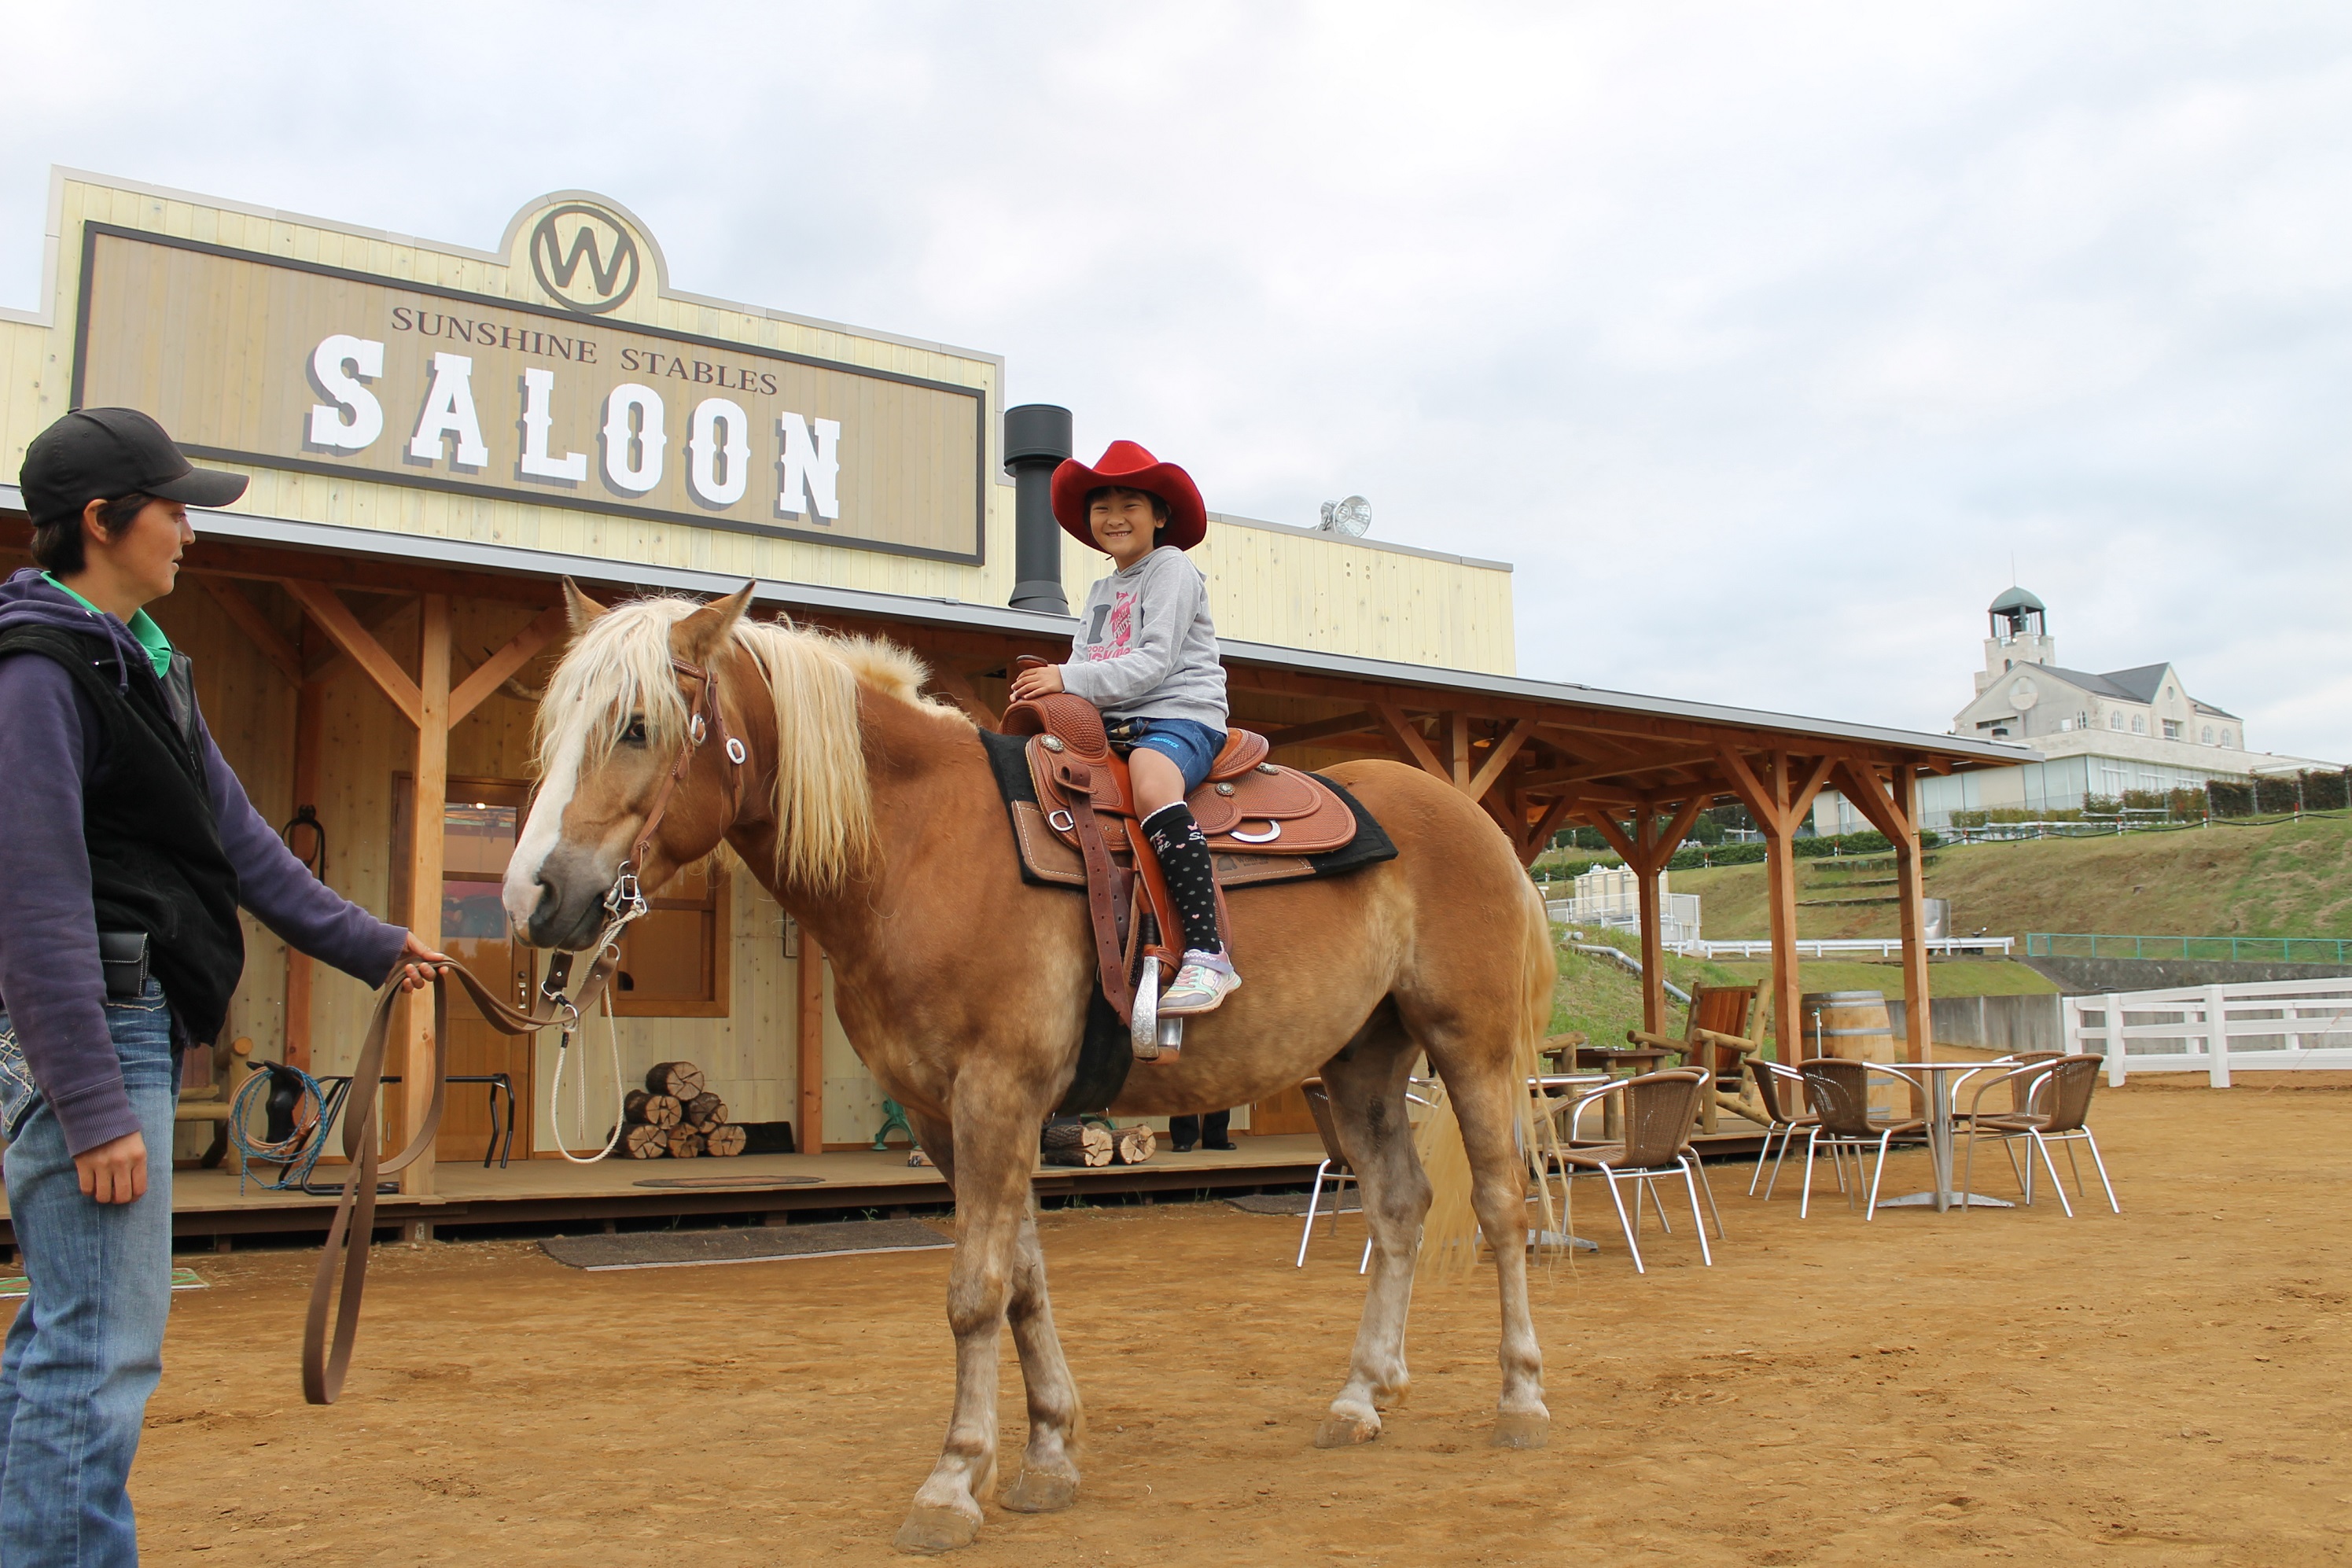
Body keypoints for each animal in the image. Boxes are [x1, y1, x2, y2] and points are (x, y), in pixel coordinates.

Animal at [501, 585, 1562, 1561]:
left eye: (637, 725)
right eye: (554, 727)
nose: (533, 896)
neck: (920, 843)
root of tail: (1473, 820)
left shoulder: (997, 1095)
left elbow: (974, 1290)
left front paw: (951, 1480)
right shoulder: (950, 1115)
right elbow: (1020, 1280)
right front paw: (1048, 1452)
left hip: (1470, 1046)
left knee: (1503, 1206)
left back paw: (1519, 1397)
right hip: (1363, 1060)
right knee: (1400, 1205)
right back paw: (1360, 1395)